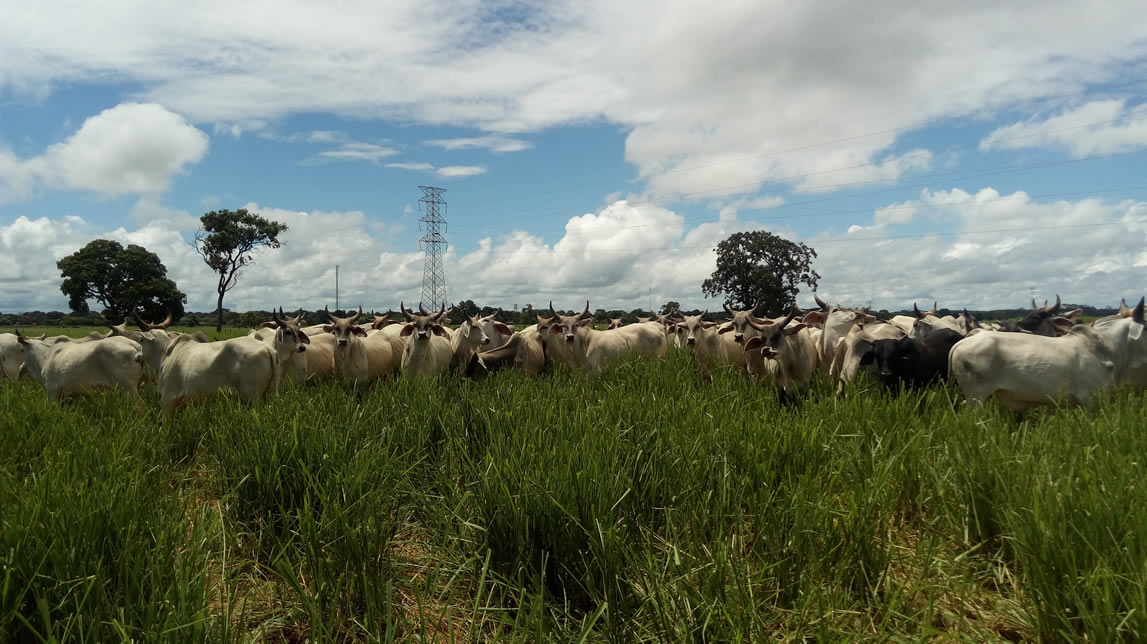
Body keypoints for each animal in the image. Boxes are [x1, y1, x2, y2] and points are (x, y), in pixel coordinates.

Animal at [15, 332, 143, 399]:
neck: (44, 355)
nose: (20, 369)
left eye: (22, 350)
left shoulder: (52, 391)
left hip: (129, 389)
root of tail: (134, 344)